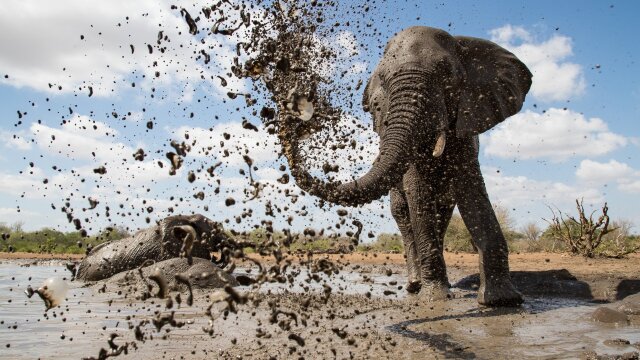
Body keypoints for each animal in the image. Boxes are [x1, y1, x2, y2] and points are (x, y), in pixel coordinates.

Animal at [282, 26, 532, 306]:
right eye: (383, 78)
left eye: (448, 74)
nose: (296, 115)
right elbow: (418, 192)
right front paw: (435, 298)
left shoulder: (468, 123)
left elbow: (472, 191)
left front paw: (503, 301)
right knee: (403, 212)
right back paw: (415, 285)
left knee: (441, 212)